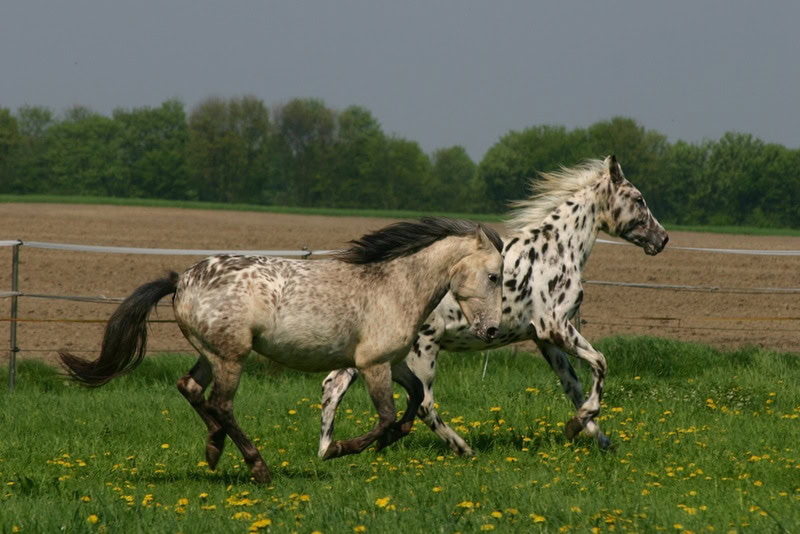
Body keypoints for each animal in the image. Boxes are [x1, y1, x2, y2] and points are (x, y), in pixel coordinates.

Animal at [59, 217, 505, 484]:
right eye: (495, 275)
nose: (492, 329)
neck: (394, 285)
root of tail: (180, 280)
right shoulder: (373, 364)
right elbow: (387, 416)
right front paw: (339, 449)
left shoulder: (391, 363)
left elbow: (414, 401)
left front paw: (390, 441)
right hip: (232, 357)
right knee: (221, 404)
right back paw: (257, 466)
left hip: (211, 354)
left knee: (190, 388)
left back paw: (214, 448)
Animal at [318, 156, 669, 457]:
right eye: (639, 198)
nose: (662, 239)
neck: (554, 252)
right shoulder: (555, 327)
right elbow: (600, 364)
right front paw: (578, 426)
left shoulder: (544, 340)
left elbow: (574, 388)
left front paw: (595, 437)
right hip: (422, 348)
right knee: (423, 402)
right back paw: (462, 449)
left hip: (368, 351)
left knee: (333, 386)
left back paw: (331, 448)